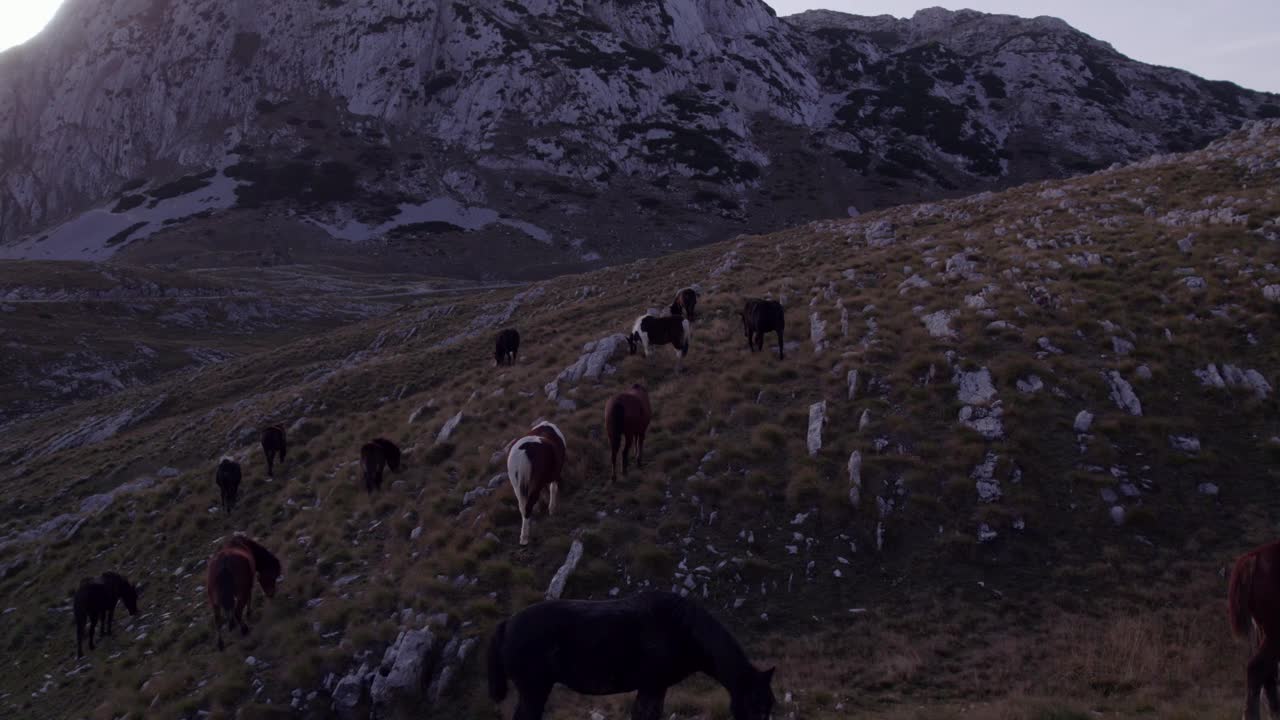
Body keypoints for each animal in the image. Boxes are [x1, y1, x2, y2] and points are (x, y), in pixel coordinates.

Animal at [486, 589, 773, 717]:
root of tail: (506, 624)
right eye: (756, 703)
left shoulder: (653, 688)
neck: (682, 628)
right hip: (534, 691)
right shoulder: (652, 686)